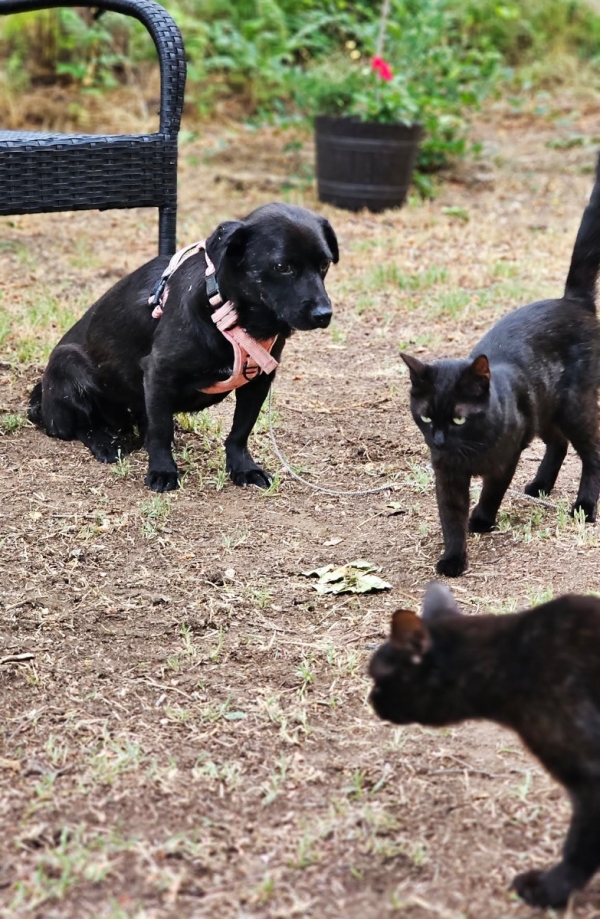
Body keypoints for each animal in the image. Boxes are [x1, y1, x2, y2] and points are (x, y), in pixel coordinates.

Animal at [29, 203, 338, 492]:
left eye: (324, 265)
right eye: (282, 267)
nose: (324, 314)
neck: (230, 314)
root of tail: (41, 398)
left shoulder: (258, 381)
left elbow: (240, 431)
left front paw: (242, 468)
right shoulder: (158, 373)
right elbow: (161, 431)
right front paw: (163, 470)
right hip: (68, 363)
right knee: (79, 426)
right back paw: (106, 442)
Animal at [369, 580, 600, 908]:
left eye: (377, 680)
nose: (371, 700)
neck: (510, 661)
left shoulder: (590, 777)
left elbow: (578, 848)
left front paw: (549, 889)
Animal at [400, 158, 600, 577]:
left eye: (458, 418)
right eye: (425, 417)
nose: (438, 440)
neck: (469, 450)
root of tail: (572, 300)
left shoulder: (505, 458)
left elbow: (493, 489)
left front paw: (481, 519)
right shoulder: (447, 473)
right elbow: (449, 516)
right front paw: (453, 557)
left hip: (575, 406)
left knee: (593, 451)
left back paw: (584, 507)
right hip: (546, 408)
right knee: (558, 442)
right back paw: (540, 485)